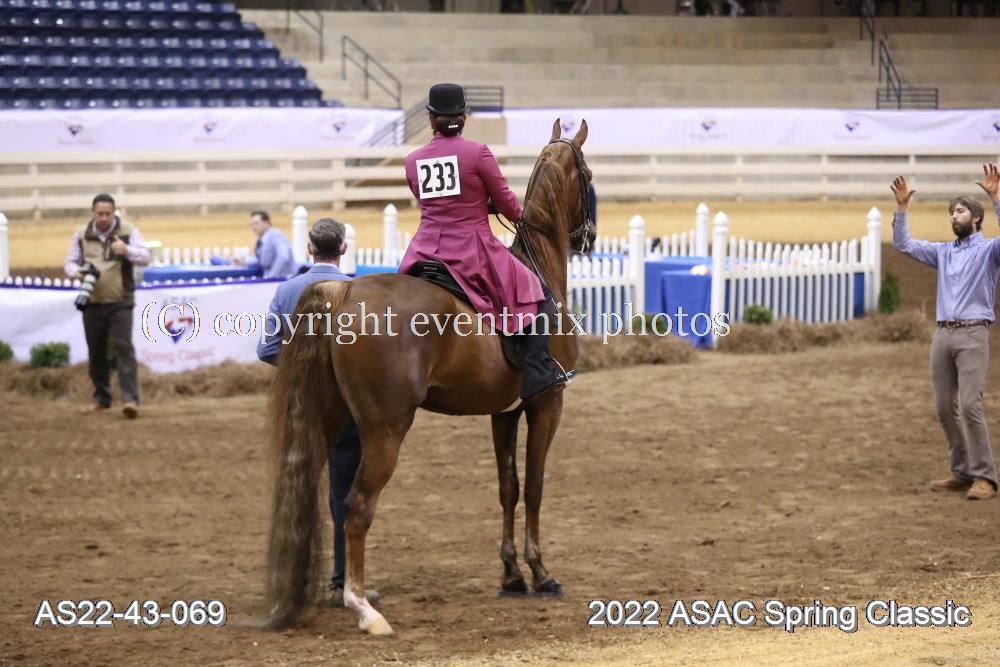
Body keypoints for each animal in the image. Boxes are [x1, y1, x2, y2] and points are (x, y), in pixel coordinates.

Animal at [262, 118, 594, 636]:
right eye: (589, 176)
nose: (590, 238)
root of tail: (344, 291)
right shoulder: (546, 404)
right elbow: (536, 487)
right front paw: (541, 573)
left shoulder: (504, 413)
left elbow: (509, 488)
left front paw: (511, 575)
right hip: (385, 430)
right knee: (357, 506)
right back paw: (365, 609)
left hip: (330, 420)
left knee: (323, 499)